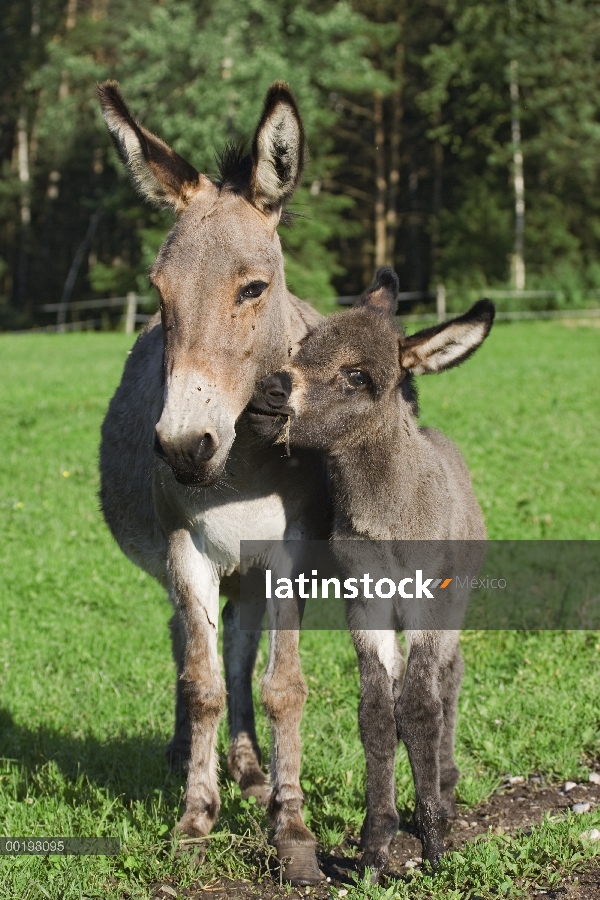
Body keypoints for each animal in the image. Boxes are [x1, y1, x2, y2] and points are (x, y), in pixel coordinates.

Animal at [251, 268, 494, 880]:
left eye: (358, 376)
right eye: (298, 350)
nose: (269, 391)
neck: (387, 518)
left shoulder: (430, 604)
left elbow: (422, 710)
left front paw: (433, 840)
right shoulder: (366, 605)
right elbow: (378, 716)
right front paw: (375, 845)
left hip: (455, 604)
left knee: (448, 679)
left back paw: (446, 792)